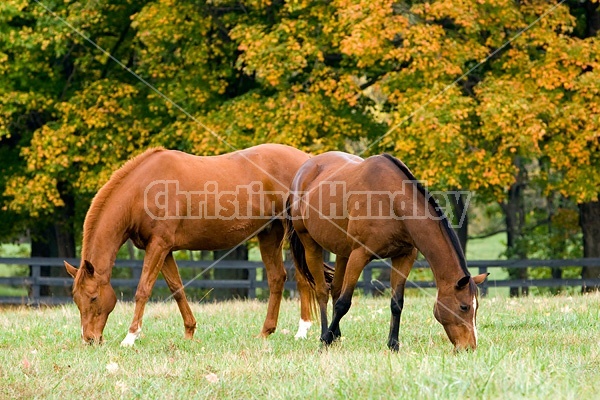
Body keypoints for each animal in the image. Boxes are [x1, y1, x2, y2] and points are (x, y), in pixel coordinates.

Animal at [64, 145, 318, 346]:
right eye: (76, 299)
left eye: (93, 297)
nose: (89, 339)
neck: (141, 190)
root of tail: (308, 161)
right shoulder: (163, 249)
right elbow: (176, 288)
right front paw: (189, 331)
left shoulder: (158, 246)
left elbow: (143, 290)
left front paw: (130, 337)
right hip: (269, 234)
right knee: (277, 278)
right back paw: (266, 332)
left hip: (294, 234)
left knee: (303, 278)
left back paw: (302, 331)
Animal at [286, 152, 488, 352]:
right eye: (464, 307)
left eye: (476, 307)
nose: (469, 347)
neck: (391, 202)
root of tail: (304, 170)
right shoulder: (359, 255)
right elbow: (344, 303)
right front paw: (325, 340)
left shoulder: (404, 257)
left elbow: (396, 302)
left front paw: (393, 344)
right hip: (310, 244)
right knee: (322, 291)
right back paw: (324, 334)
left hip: (342, 251)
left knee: (335, 289)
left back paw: (336, 335)